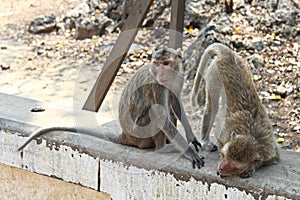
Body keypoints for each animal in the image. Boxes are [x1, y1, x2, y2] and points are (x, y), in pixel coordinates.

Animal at [17, 47, 204, 169]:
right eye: (157, 63)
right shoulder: (156, 85)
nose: (160, 72)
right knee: (155, 112)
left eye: (165, 63)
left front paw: (192, 138)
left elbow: (176, 103)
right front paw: (189, 152)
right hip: (140, 134)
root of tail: (125, 135)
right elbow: (162, 117)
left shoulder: (178, 78)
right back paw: (163, 148)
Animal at [192, 43, 278, 177]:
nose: (221, 168)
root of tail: (229, 55)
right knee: (212, 106)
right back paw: (205, 141)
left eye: (234, 165)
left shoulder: (270, 149)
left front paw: (251, 168)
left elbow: (271, 159)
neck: (251, 133)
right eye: (223, 155)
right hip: (213, 74)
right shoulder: (225, 133)